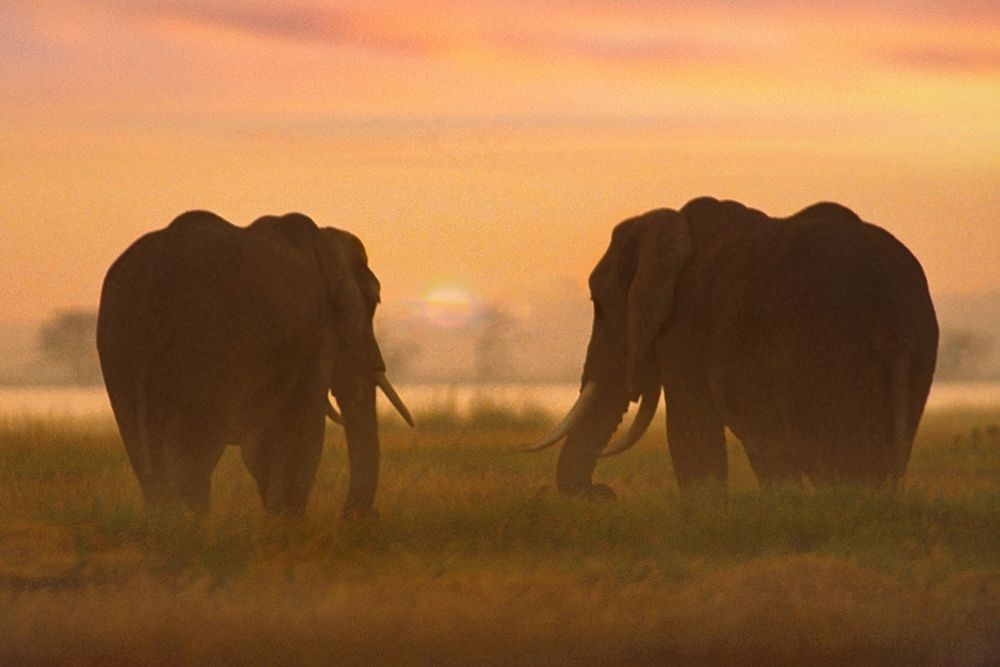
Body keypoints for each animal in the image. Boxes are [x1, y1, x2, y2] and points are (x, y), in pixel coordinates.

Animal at [97, 210, 413, 517]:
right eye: (376, 301)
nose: (363, 516)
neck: (324, 239)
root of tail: (154, 277)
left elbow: (263, 441)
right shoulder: (316, 330)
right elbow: (304, 424)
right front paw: (287, 522)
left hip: (118, 347)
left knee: (149, 461)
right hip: (203, 352)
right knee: (193, 459)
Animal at [528, 197, 938, 497]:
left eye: (598, 304)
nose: (605, 492)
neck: (668, 224)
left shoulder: (685, 326)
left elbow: (692, 430)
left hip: (829, 358)